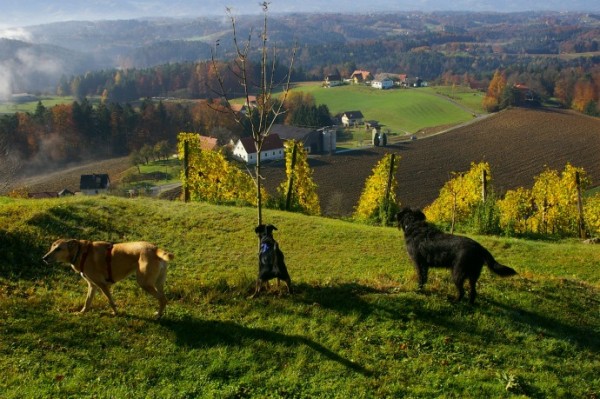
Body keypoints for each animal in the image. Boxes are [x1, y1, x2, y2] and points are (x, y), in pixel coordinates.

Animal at [41, 241, 173, 318]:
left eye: (58, 249)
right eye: (51, 248)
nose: (44, 258)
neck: (81, 253)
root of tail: (154, 248)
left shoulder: (102, 285)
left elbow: (110, 301)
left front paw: (115, 313)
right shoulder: (92, 285)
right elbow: (87, 302)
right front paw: (82, 313)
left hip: (145, 283)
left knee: (162, 299)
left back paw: (158, 316)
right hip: (158, 284)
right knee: (164, 298)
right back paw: (160, 314)